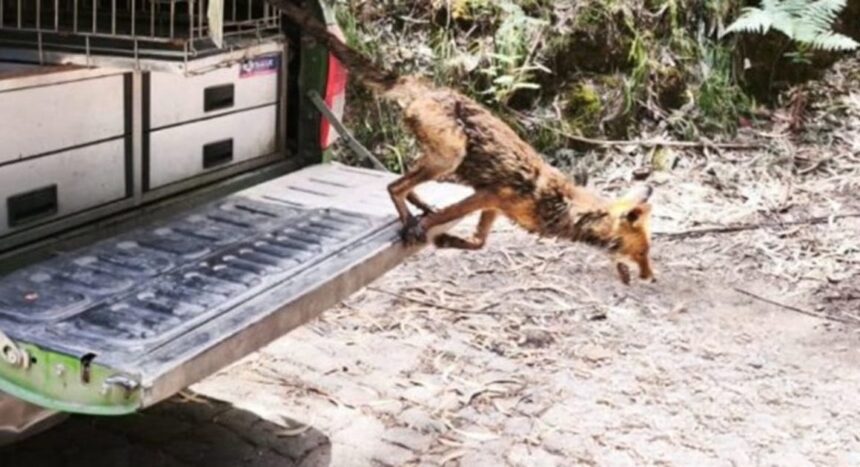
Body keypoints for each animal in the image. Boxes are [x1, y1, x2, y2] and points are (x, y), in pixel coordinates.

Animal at [272, 0, 655, 284]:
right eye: (642, 253)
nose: (651, 277)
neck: (557, 205)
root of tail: (422, 85)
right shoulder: (489, 195)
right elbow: (457, 223)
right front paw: (430, 232)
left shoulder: (493, 206)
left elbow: (479, 242)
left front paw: (448, 239)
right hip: (451, 156)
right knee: (394, 186)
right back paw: (410, 220)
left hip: (439, 158)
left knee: (402, 183)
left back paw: (420, 206)